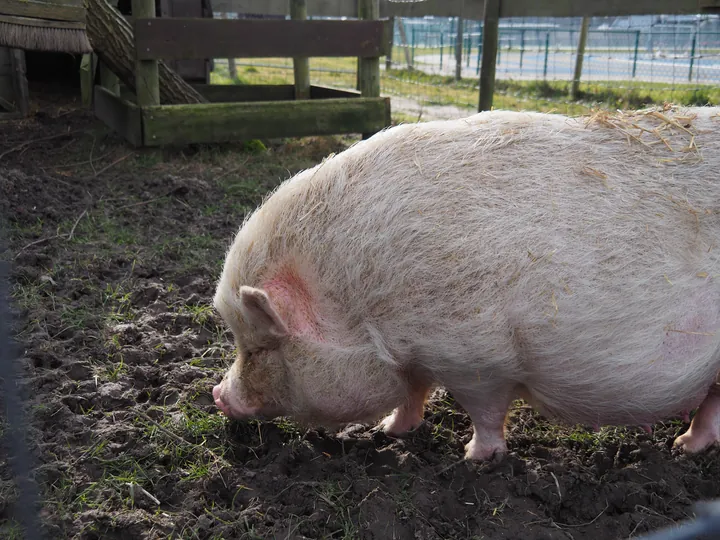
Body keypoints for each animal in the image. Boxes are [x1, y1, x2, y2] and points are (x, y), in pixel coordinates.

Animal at [211, 105, 720, 460]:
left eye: (260, 347)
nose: (216, 396)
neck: (362, 305)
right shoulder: (417, 356)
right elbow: (414, 392)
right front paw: (389, 432)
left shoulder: (478, 357)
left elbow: (484, 409)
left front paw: (474, 458)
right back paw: (684, 447)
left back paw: (683, 448)